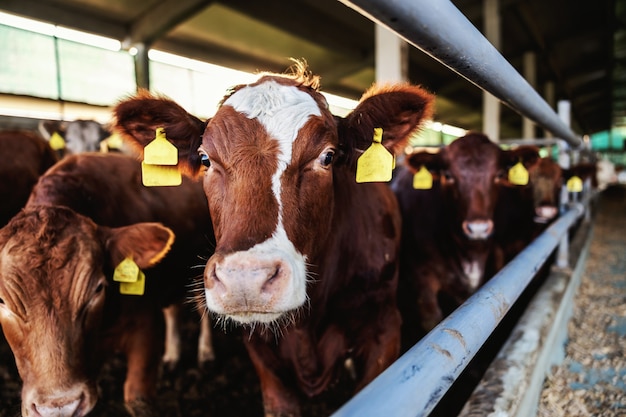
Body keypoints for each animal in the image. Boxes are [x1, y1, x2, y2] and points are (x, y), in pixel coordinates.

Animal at [0, 153, 214, 416]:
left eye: (97, 289)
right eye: (2, 301)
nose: (61, 407)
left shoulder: (145, 329)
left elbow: (138, 399)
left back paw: (206, 353)